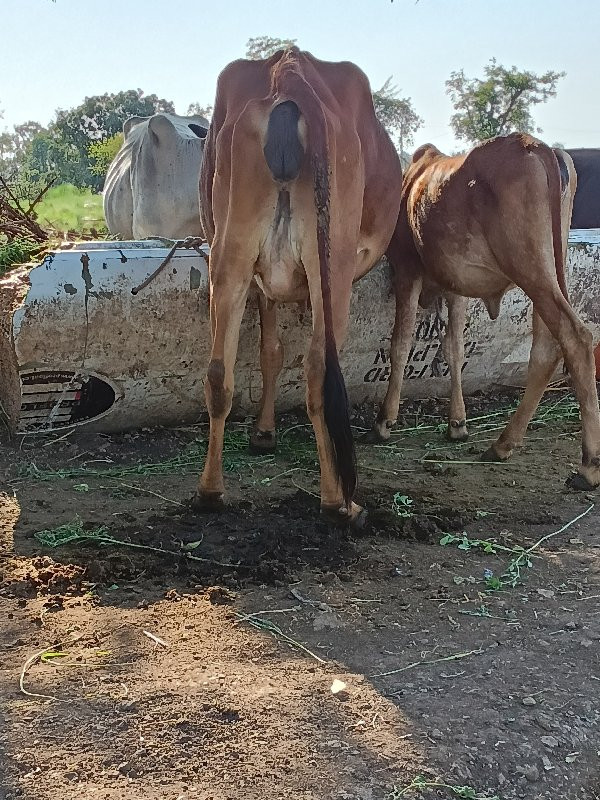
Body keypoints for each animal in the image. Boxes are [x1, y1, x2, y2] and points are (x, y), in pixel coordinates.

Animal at [197, 50, 404, 524]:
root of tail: (287, 68)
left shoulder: (260, 281)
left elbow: (269, 351)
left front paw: (263, 432)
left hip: (230, 255)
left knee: (219, 373)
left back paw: (210, 490)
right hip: (333, 266)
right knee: (319, 371)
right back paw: (337, 498)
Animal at [372, 133, 596, 488]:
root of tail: (534, 145)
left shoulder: (406, 269)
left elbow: (401, 342)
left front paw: (384, 421)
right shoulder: (456, 286)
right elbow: (454, 348)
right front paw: (458, 423)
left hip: (530, 267)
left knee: (575, 337)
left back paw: (588, 466)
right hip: (550, 267)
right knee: (546, 348)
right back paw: (503, 444)